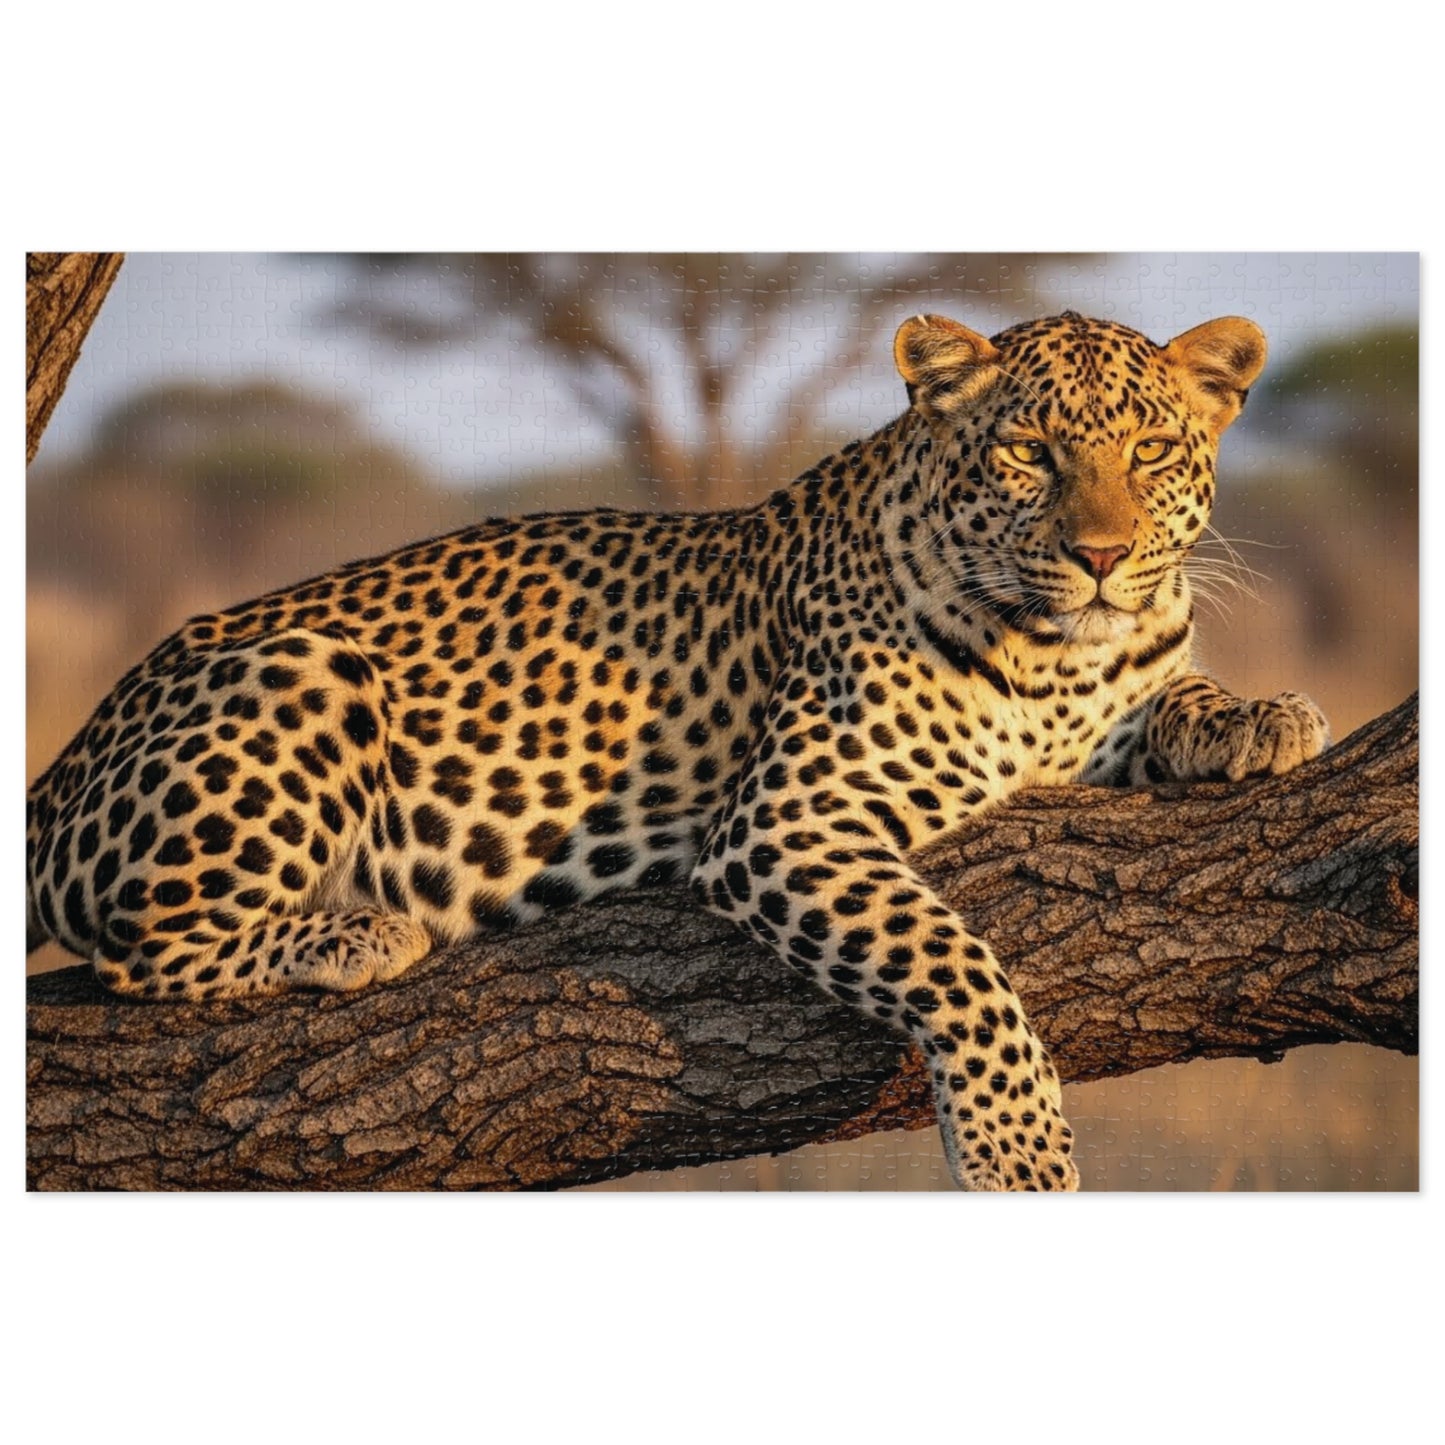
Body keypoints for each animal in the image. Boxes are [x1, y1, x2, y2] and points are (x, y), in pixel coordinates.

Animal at [26, 309, 1329, 1191]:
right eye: (1027, 451)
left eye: (1150, 452)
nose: (1100, 555)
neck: (1053, 659)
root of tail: (67, 759)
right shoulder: (786, 822)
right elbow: (959, 964)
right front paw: (1018, 1152)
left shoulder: (1102, 697)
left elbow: (1169, 687)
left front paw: (1255, 715)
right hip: (304, 666)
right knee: (141, 953)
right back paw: (354, 931)